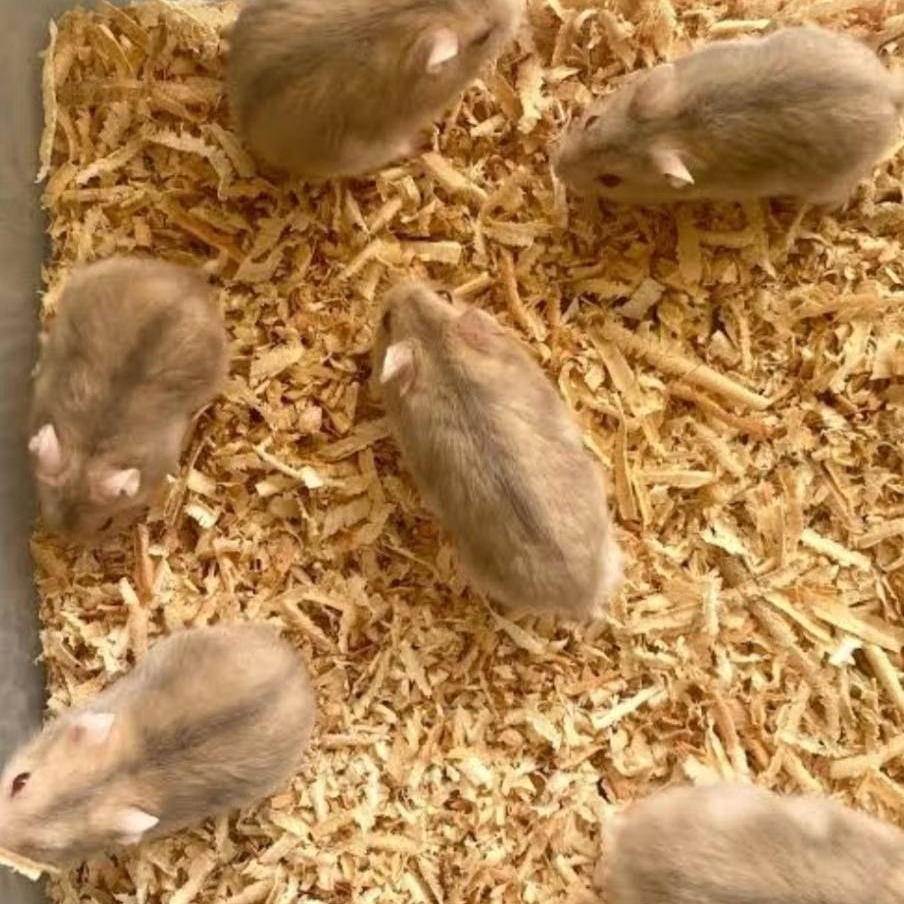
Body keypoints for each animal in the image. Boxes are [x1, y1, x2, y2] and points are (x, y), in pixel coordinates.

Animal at [553, 26, 904, 206]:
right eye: (591, 121)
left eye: (610, 181)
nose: (555, 170)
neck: (675, 124)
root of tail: (888, 88)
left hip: (831, 184)